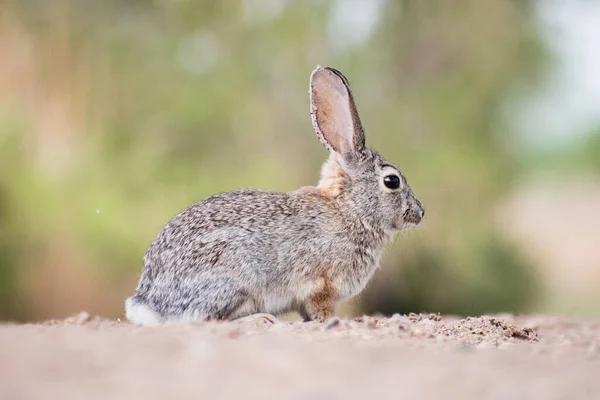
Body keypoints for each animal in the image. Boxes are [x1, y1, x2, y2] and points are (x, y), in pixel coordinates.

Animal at [126, 65, 424, 324]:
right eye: (392, 181)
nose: (420, 213)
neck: (351, 209)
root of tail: (148, 304)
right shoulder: (321, 285)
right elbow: (321, 309)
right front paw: (335, 321)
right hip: (233, 273)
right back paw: (261, 319)